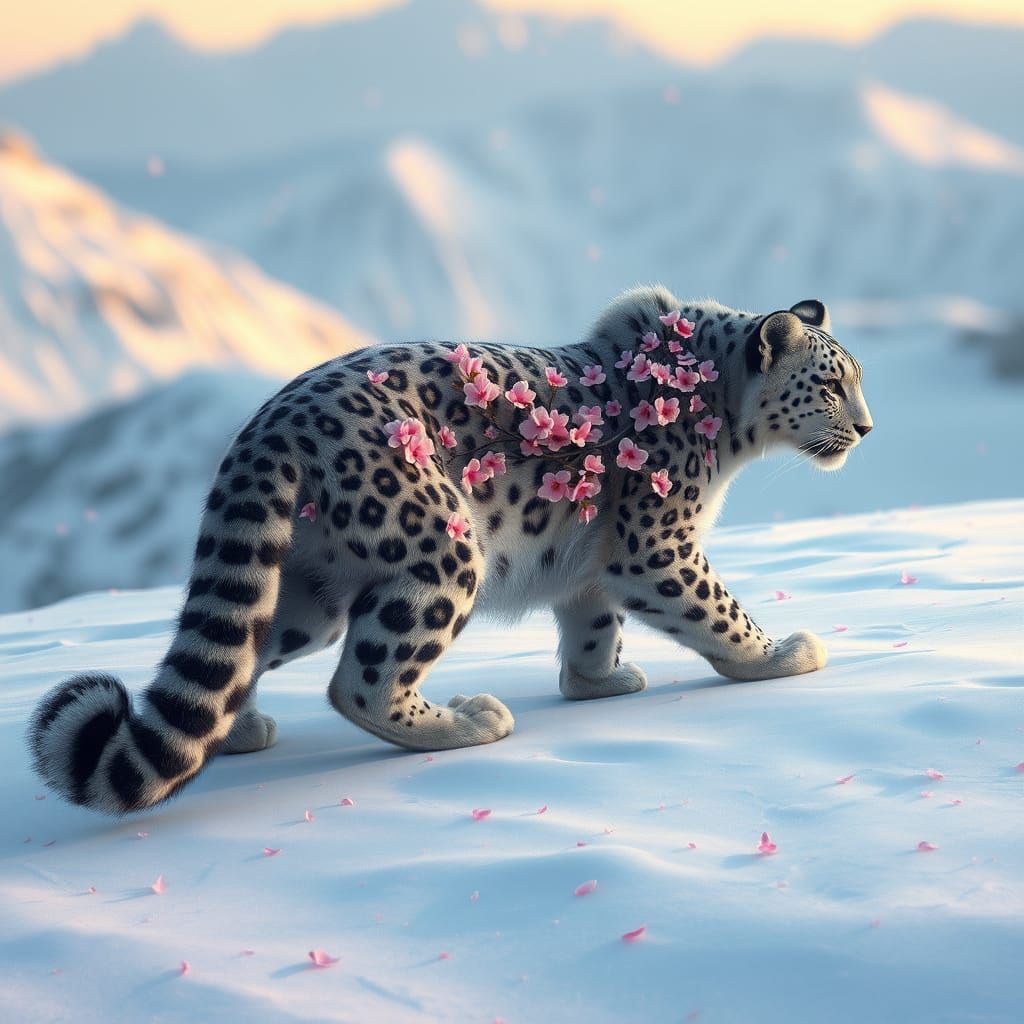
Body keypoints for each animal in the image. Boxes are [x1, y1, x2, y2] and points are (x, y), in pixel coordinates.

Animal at [29, 286, 872, 813]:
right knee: (360, 683)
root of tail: (266, 428)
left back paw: (238, 732)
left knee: (244, 650)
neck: (726, 429)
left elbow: (593, 624)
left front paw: (598, 682)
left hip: (308, 588)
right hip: (440, 549)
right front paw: (781, 655)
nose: (866, 428)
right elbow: (718, 612)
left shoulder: (593, 566)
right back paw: (469, 722)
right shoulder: (659, 544)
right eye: (832, 384)